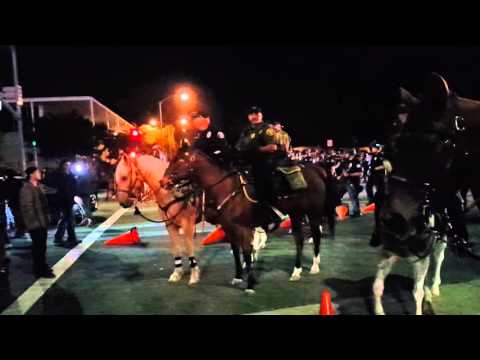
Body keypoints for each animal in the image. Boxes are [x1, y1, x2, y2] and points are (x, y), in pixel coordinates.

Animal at [163, 148, 336, 294]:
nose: (163, 181)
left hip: (313, 214)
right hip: (296, 215)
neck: (228, 190)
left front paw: (250, 284)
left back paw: (314, 265)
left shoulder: (243, 228)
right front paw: (238, 277)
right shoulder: (229, 228)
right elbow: (236, 253)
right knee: (299, 240)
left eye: (179, 160)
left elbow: (246, 253)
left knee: (316, 235)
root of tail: (315, 170)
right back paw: (296, 271)